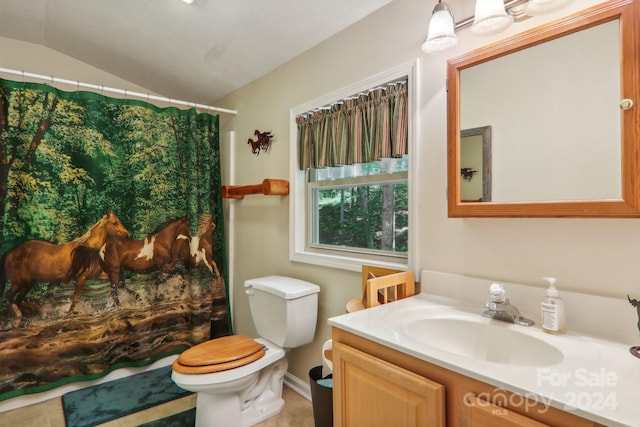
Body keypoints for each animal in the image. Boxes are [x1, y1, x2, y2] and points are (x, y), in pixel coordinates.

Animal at [0, 211, 130, 318]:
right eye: (115, 222)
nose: (127, 235)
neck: (86, 250)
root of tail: (11, 252)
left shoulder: (98, 275)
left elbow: (120, 286)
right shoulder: (81, 278)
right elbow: (75, 298)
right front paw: (69, 312)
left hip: (27, 284)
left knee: (17, 299)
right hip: (19, 283)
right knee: (9, 296)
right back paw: (18, 314)